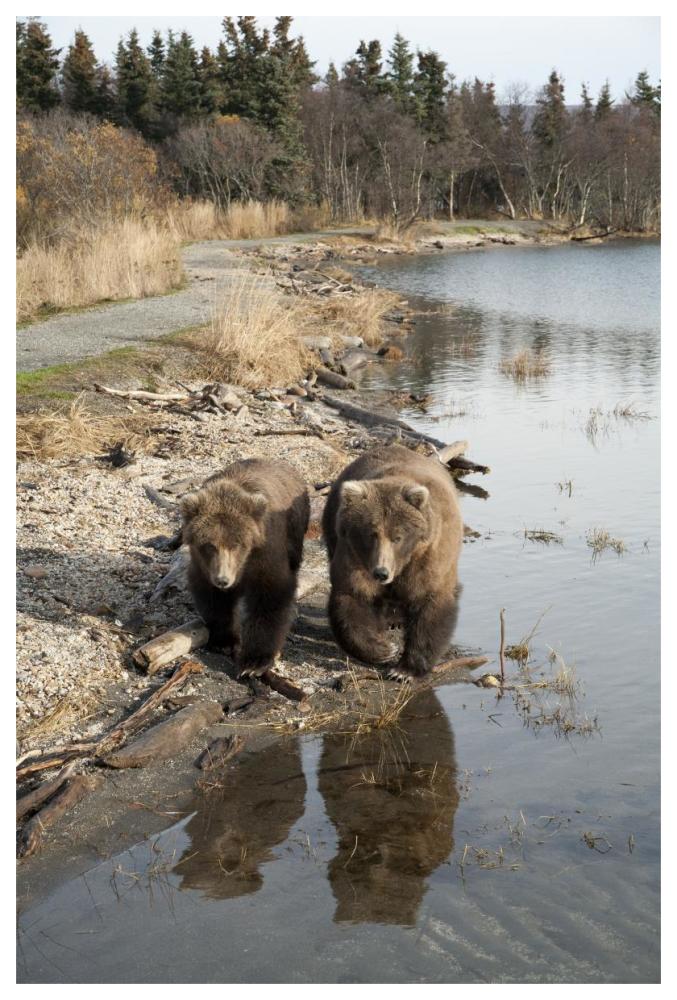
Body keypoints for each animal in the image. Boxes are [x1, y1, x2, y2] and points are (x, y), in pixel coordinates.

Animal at [181, 458, 310, 677]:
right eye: (209, 545)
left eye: (237, 544)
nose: (223, 580)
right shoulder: (203, 565)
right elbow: (214, 599)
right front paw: (224, 641)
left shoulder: (266, 552)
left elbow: (269, 597)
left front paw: (254, 662)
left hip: (296, 527)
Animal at [322, 443, 462, 680]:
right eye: (371, 534)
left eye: (398, 537)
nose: (381, 572)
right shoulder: (355, 555)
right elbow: (353, 596)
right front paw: (384, 650)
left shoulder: (428, 557)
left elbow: (430, 603)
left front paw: (404, 671)